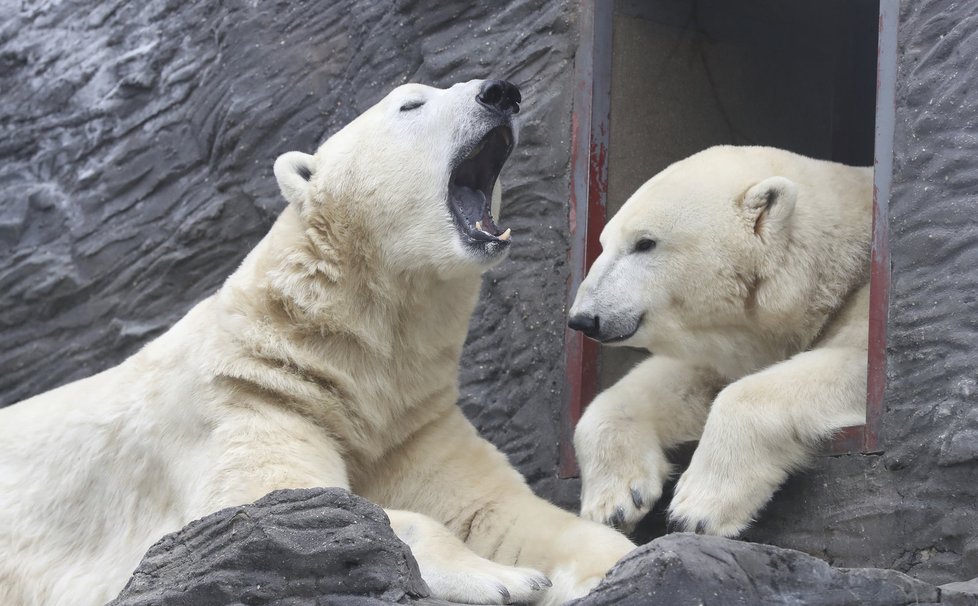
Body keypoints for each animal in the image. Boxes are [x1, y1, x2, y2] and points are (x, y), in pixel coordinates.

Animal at [0, 81, 632, 606]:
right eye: (411, 104)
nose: (502, 93)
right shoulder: (245, 396)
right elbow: (290, 505)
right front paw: (504, 579)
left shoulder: (406, 426)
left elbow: (494, 510)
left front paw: (612, 559)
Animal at [564, 145, 868, 540]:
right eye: (602, 243)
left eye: (645, 243)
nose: (583, 318)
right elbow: (680, 384)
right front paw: (613, 503)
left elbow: (852, 365)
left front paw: (695, 509)